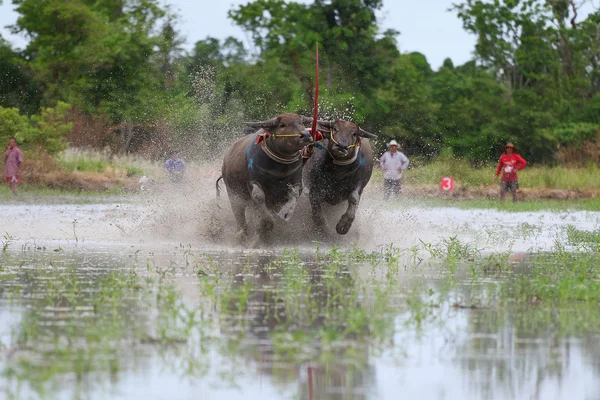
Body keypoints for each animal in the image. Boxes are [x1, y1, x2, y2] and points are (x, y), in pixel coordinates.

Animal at [220, 113, 314, 244]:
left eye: (301, 122)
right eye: (282, 125)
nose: (305, 135)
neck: (279, 169)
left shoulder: (296, 182)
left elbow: (293, 195)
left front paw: (285, 213)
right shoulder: (254, 183)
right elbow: (260, 200)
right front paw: (262, 231)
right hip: (234, 194)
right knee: (240, 217)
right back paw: (242, 236)